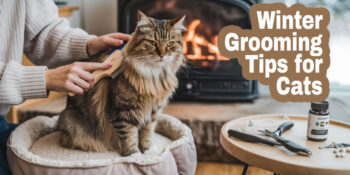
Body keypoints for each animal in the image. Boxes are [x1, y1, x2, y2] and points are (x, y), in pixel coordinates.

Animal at [57, 10, 187, 156]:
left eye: (170, 44)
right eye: (153, 42)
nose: (162, 55)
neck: (154, 75)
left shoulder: (153, 111)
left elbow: (147, 132)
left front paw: (148, 151)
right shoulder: (122, 112)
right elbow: (129, 136)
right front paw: (135, 156)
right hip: (70, 119)